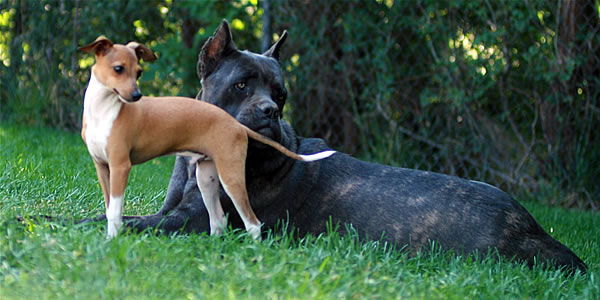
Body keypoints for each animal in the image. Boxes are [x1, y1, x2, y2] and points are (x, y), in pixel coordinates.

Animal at [77, 37, 336, 239]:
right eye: (241, 85)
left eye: (281, 96)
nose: (136, 95)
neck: (104, 110)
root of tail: (237, 126)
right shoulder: (104, 168)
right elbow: (111, 210)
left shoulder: (126, 171)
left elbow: (117, 214)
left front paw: (104, 235)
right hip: (207, 178)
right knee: (219, 221)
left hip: (230, 178)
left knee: (252, 223)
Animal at [108, 21, 584, 274]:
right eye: (242, 85)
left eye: (281, 95)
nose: (270, 112)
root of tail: (532, 227)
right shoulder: (171, 212)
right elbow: (125, 216)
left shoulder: (189, 223)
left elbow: (122, 223)